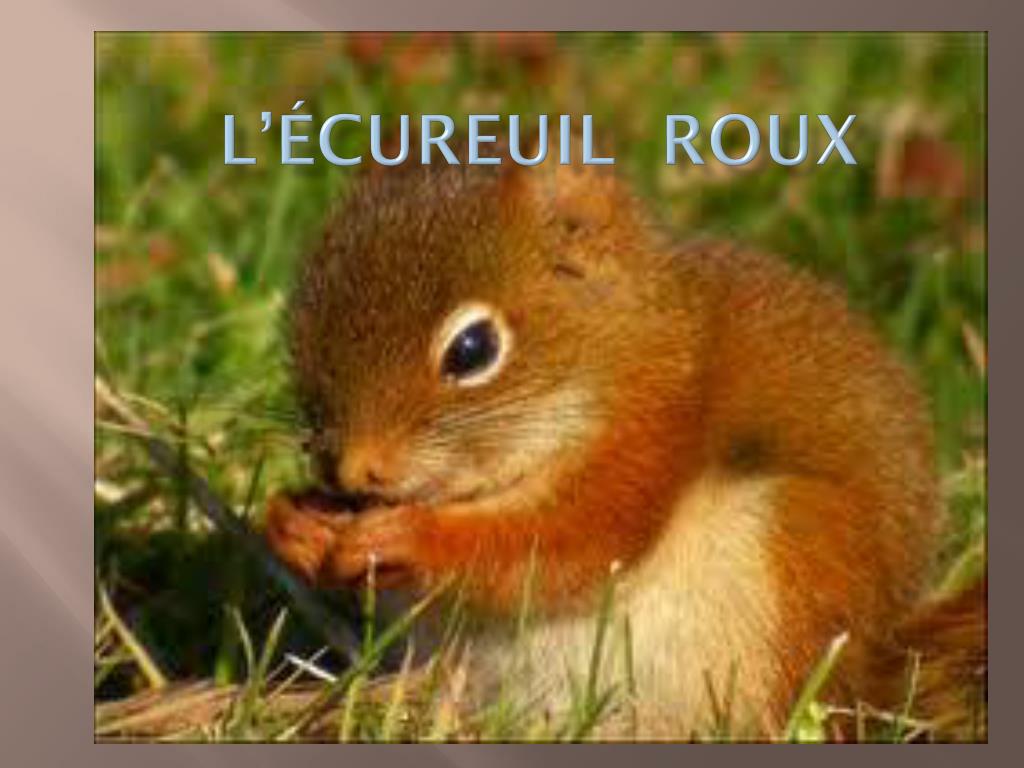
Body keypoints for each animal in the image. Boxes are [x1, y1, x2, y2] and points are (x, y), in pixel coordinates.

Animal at [264, 153, 986, 740]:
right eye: (302, 320)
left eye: (472, 350)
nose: (352, 469)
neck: (618, 357)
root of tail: (863, 696)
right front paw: (295, 522)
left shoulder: (649, 443)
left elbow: (561, 546)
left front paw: (408, 537)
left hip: (785, 569)